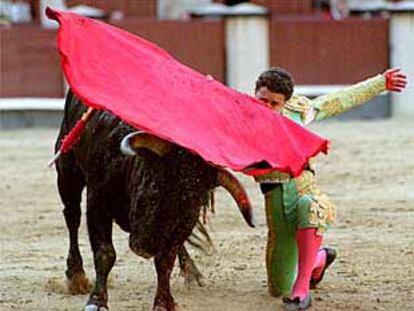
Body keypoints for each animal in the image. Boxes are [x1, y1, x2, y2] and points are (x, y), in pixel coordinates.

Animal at [54, 89, 252, 310]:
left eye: (192, 203)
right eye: (155, 185)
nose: (144, 249)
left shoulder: (184, 224)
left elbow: (165, 261)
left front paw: (164, 301)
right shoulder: (98, 201)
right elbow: (105, 253)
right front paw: (97, 301)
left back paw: (191, 271)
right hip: (67, 171)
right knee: (72, 216)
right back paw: (76, 275)